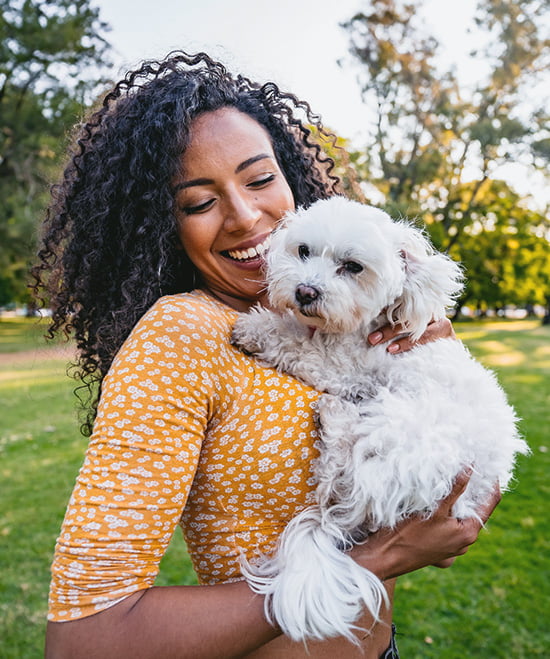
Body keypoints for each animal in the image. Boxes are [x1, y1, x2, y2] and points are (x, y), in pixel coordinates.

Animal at [232, 196, 532, 644]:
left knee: (339, 476)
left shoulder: (346, 367)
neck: (362, 328)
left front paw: (256, 328)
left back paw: (336, 418)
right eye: (303, 251)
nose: (305, 291)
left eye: (353, 267)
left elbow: (299, 346)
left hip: (402, 429)